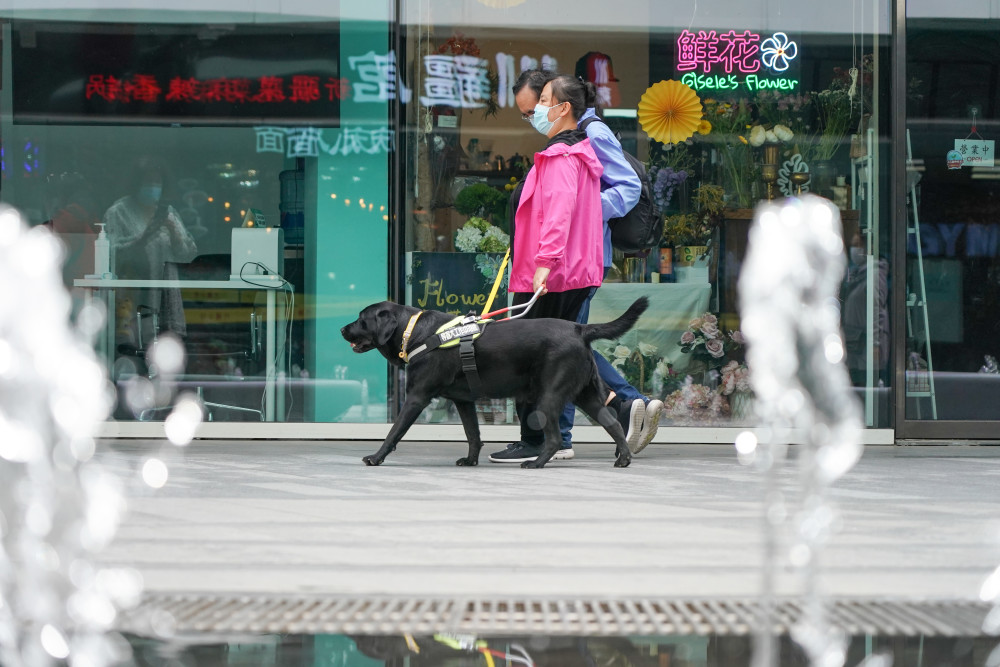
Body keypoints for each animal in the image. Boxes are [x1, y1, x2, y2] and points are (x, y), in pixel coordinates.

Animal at [340, 298, 648, 470]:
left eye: (362, 319)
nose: (342, 329)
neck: (414, 331)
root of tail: (579, 328)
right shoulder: (464, 401)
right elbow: (473, 434)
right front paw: (470, 460)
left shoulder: (416, 397)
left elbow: (394, 432)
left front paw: (376, 457)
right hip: (587, 395)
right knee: (613, 423)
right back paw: (623, 458)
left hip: (548, 397)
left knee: (555, 438)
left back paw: (535, 463)